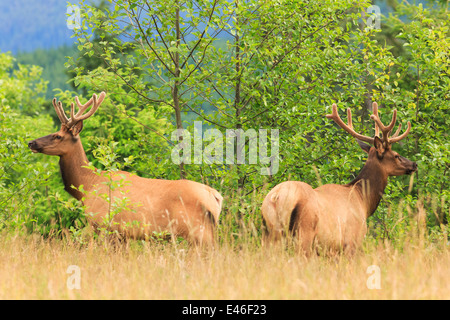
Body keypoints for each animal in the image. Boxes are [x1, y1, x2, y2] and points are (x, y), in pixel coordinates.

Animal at [29, 92, 222, 245]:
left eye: (57, 136)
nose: (31, 142)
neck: (86, 187)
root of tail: (215, 196)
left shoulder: (103, 224)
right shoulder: (122, 234)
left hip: (197, 230)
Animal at [262, 102, 416, 255]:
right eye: (396, 155)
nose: (414, 164)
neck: (363, 201)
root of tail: (276, 197)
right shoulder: (352, 241)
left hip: (270, 233)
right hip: (304, 231)